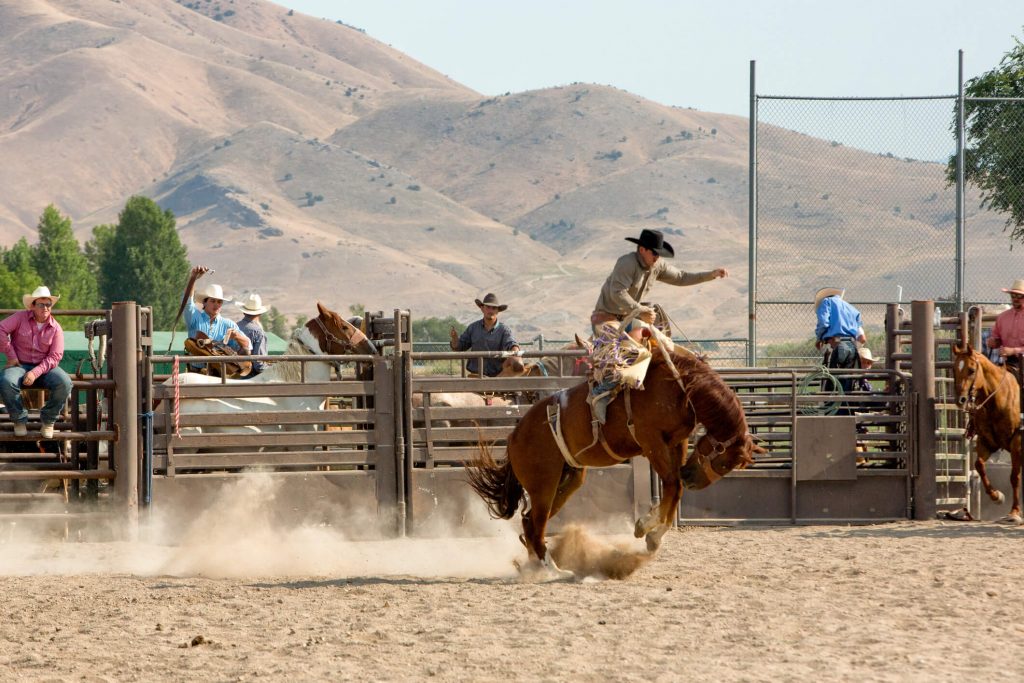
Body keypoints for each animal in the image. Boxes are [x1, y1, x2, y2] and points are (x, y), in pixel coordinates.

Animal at [464, 348, 761, 577]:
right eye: (724, 464)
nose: (692, 478)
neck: (679, 386)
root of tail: (514, 436)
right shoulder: (652, 442)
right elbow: (672, 485)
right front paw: (649, 532)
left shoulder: (678, 442)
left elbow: (673, 490)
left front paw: (648, 530)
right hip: (543, 485)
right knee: (535, 528)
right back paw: (554, 571)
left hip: (567, 479)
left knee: (529, 523)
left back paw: (534, 567)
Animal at [946, 344, 1019, 528]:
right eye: (954, 369)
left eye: (971, 370)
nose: (961, 399)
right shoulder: (987, 442)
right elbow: (978, 464)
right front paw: (997, 496)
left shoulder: (1017, 442)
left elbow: (1014, 477)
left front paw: (1014, 513)